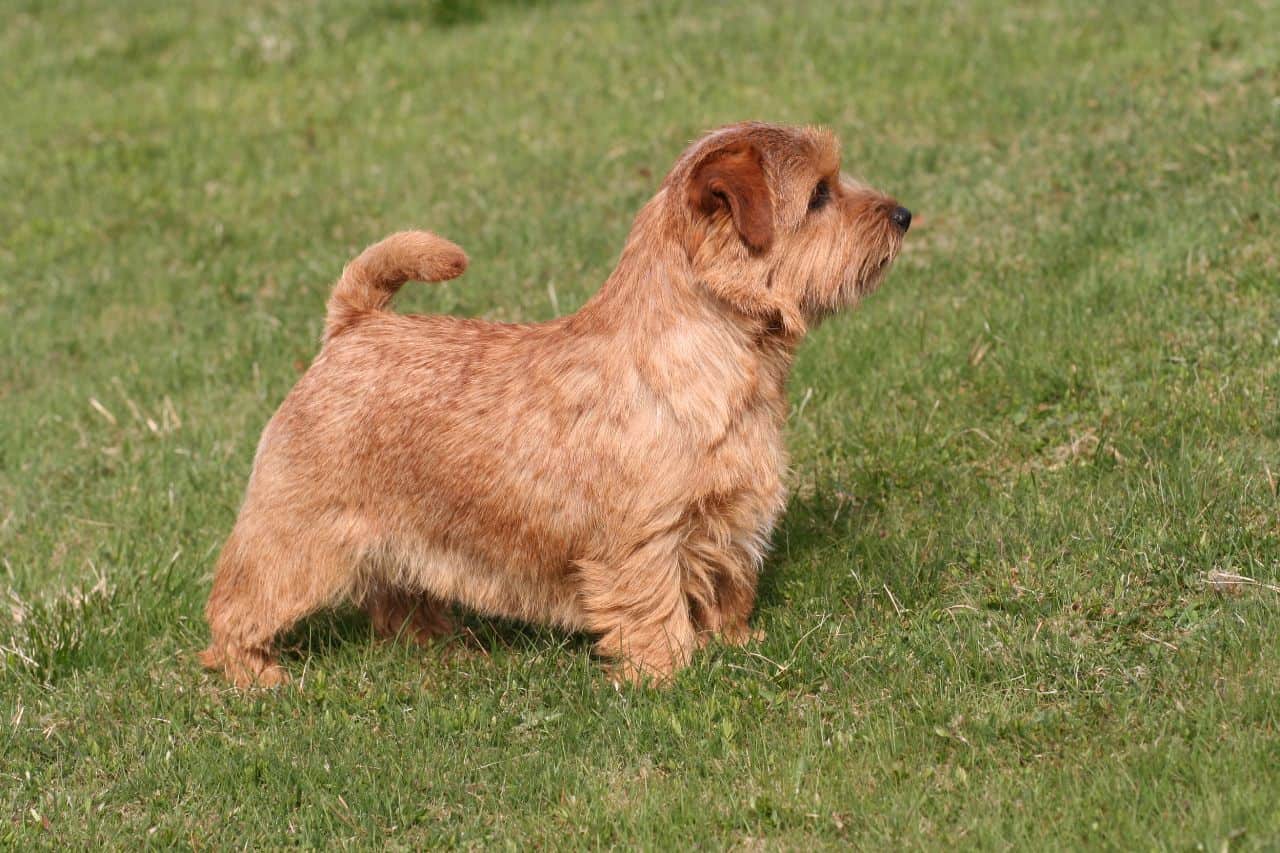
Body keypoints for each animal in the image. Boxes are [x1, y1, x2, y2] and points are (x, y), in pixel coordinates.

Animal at [199, 121, 911, 686]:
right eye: (820, 194)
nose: (903, 214)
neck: (725, 357)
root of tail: (353, 327)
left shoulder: (728, 516)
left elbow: (728, 586)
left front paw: (738, 645)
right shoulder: (644, 535)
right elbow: (653, 604)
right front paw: (666, 674)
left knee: (394, 595)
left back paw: (440, 645)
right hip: (298, 531)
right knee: (237, 601)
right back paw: (254, 673)